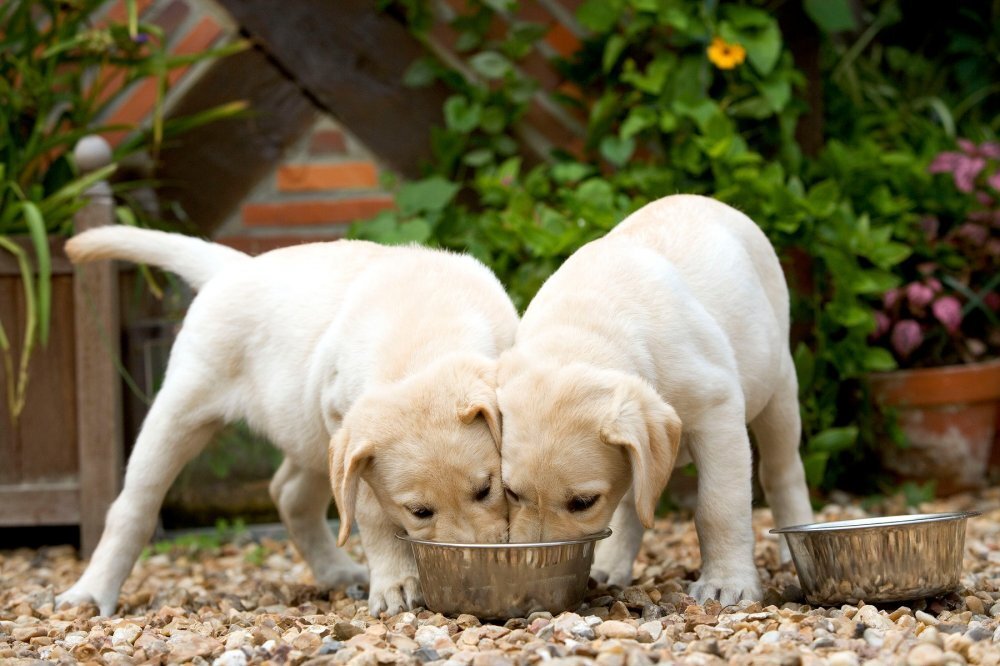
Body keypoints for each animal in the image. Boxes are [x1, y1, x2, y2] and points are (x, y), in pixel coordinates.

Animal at [56, 226, 516, 616]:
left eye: (486, 489)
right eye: (419, 511)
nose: (473, 573)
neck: (422, 339)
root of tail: (234, 267)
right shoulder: (348, 433)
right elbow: (371, 515)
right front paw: (396, 583)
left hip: (309, 433)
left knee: (289, 493)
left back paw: (335, 570)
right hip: (182, 409)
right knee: (133, 507)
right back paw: (90, 592)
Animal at [496, 195, 816, 604]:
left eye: (582, 503)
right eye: (511, 493)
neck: (584, 330)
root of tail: (703, 199)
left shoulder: (718, 411)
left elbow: (719, 507)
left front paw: (727, 582)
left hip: (778, 388)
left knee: (782, 470)